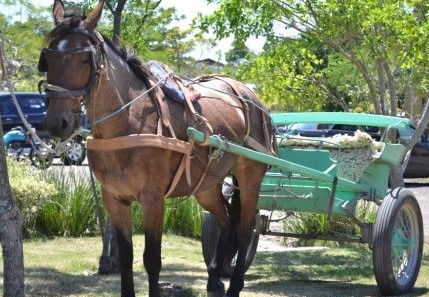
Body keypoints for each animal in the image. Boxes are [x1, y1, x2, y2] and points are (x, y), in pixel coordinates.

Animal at [39, 1, 274, 294]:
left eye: (85, 59)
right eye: (47, 58)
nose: (56, 123)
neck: (129, 122)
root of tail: (250, 95)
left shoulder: (153, 199)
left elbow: (151, 259)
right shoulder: (114, 198)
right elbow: (126, 257)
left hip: (250, 177)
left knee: (245, 228)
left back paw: (234, 285)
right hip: (206, 185)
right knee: (226, 220)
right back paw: (214, 278)